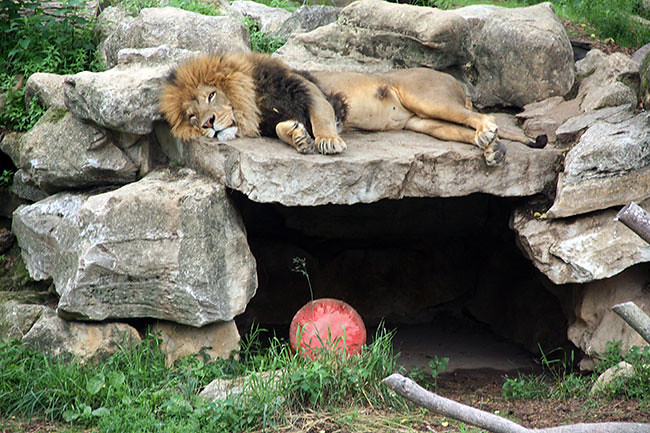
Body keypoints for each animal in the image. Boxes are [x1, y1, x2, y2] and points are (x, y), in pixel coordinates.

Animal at [159, 52, 546, 166]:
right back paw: (491, 149)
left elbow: (321, 117)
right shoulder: (275, 117)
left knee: (483, 117)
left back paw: (489, 133)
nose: (208, 124)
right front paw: (298, 138)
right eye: (191, 116)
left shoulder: (310, 90)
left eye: (211, 96)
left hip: (428, 99)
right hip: (426, 123)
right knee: (462, 131)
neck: (251, 104)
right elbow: (284, 128)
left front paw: (327, 141)